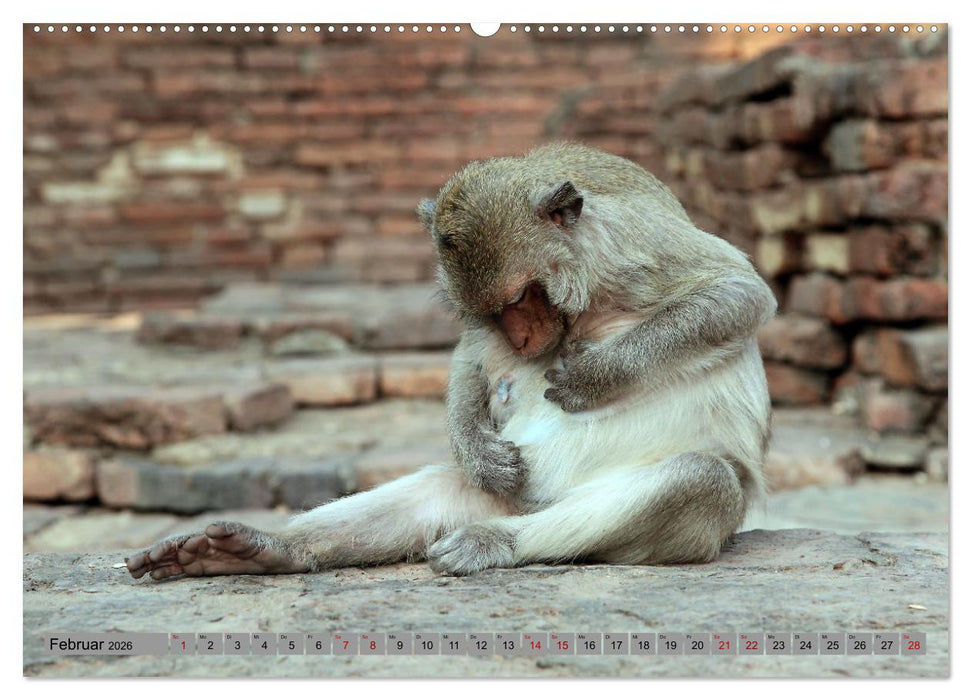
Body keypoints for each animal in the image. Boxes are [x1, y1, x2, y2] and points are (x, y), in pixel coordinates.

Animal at [126, 143, 777, 581]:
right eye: (492, 312)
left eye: (523, 298)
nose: (521, 338)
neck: (586, 293)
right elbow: (471, 354)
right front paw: (477, 446)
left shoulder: (635, 249)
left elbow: (740, 295)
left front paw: (595, 377)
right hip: (501, 491)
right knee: (432, 495)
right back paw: (267, 549)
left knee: (699, 479)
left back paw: (493, 543)